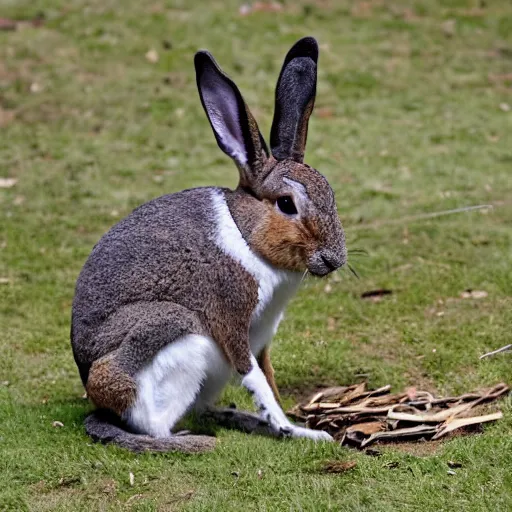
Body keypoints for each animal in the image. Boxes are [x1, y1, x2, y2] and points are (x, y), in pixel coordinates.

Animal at [70, 37, 346, 452]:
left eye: (329, 192)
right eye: (286, 204)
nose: (334, 259)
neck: (248, 238)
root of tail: (95, 391)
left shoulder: (262, 335)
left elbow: (269, 376)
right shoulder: (231, 321)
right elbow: (256, 378)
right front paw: (298, 430)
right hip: (176, 334)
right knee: (152, 424)